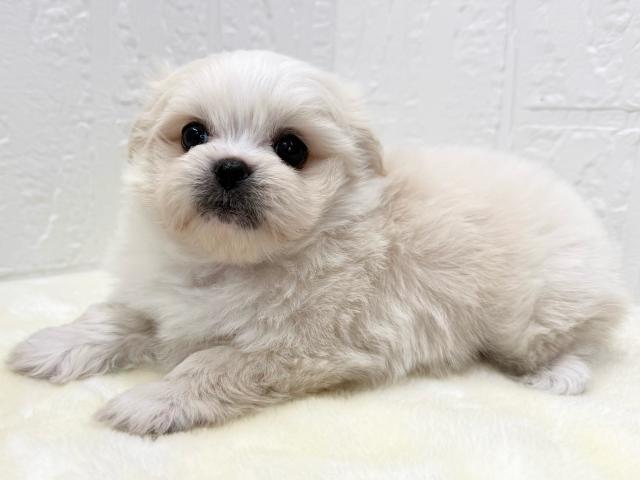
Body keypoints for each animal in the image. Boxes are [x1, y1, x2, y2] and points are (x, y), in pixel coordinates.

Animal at [7, 50, 629, 435]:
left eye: (292, 149)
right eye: (192, 134)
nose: (229, 167)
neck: (230, 262)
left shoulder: (302, 347)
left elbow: (213, 363)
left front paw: (151, 402)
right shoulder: (162, 295)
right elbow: (116, 317)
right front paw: (51, 346)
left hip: (536, 313)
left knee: (581, 341)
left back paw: (559, 375)